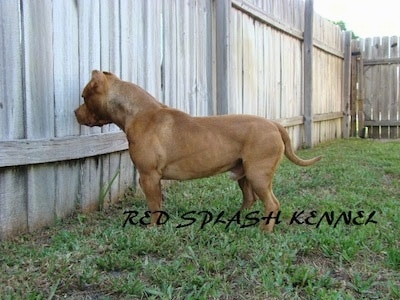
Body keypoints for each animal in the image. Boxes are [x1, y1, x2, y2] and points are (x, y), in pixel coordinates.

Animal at [74, 70, 322, 232]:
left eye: (84, 96)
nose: (75, 113)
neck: (137, 112)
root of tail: (273, 124)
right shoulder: (153, 179)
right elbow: (159, 204)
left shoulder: (148, 176)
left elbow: (153, 206)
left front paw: (153, 228)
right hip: (245, 174)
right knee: (249, 198)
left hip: (258, 174)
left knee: (272, 203)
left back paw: (265, 230)